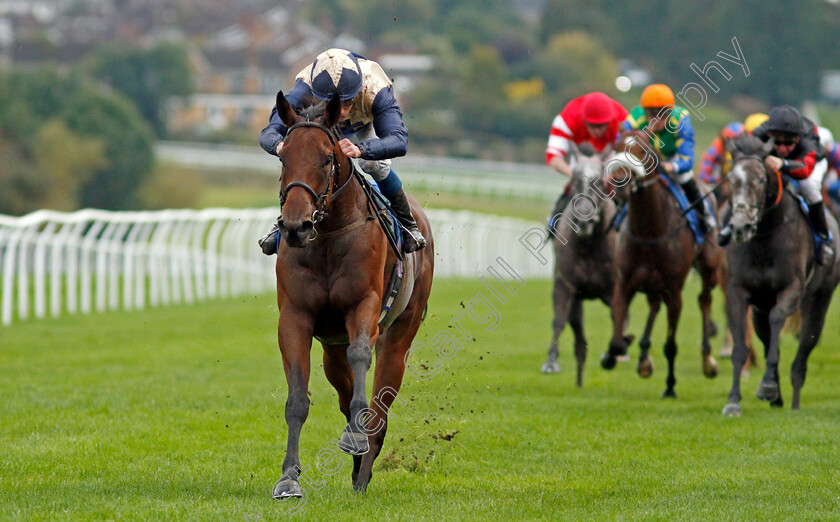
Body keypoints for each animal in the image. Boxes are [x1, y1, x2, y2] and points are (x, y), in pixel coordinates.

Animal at [272, 91, 436, 494]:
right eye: (283, 157)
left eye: (327, 158)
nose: (296, 226)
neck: (328, 236)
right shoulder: (295, 317)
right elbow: (297, 398)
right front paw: (288, 477)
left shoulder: (365, 305)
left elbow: (362, 355)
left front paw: (357, 439)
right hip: (332, 347)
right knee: (346, 394)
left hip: (400, 334)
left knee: (379, 407)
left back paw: (363, 467)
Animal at [540, 146, 628, 386]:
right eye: (575, 178)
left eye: (598, 180)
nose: (583, 219)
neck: (588, 246)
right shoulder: (567, 284)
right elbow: (561, 321)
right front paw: (551, 362)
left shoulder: (613, 287)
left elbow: (617, 317)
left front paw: (612, 354)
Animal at [600, 129, 724, 394]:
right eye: (617, 147)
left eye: (643, 150)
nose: (618, 181)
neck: (649, 232)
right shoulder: (624, 284)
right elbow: (615, 340)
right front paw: (617, 350)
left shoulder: (675, 290)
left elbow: (670, 345)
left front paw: (670, 386)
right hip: (652, 283)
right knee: (655, 305)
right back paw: (644, 357)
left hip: (709, 269)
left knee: (704, 301)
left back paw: (708, 361)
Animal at [720, 134, 840, 414]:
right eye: (731, 179)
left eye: (760, 179)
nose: (740, 227)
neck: (765, 237)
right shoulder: (737, 292)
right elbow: (741, 347)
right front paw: (734, 401)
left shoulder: (792, 290)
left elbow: (778, 321)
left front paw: (766, 386)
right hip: (760, 308)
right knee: (765, 337)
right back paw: (777, 395)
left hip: (819, 300)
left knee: (805, 345)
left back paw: (793, 399)